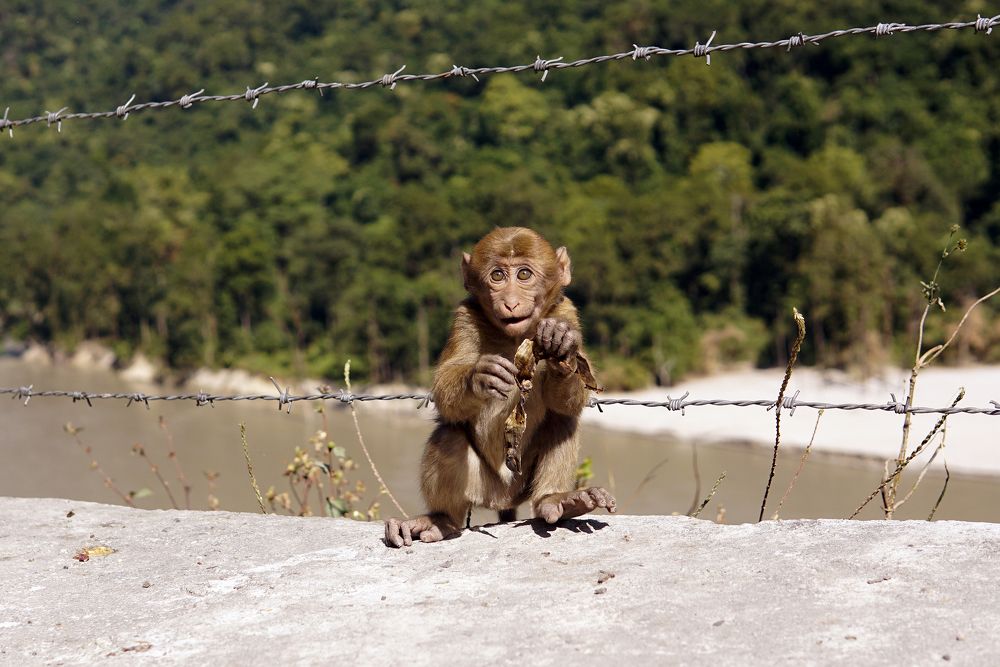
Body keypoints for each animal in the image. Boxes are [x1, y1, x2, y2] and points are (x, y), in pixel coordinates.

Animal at [385, 227, 616, 548]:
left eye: (523, 274)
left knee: (563, 421)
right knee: (448, 434)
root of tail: (503, 499)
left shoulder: (566, 312)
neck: (514, 337)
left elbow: (568, 402)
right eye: (497, 276)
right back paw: (442, 520)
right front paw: (481, 377)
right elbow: (445, 390)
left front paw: (561, 349)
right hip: (482, 486)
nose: (510, 302)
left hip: (522, 486)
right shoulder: (465, 317)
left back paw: (557, 500)